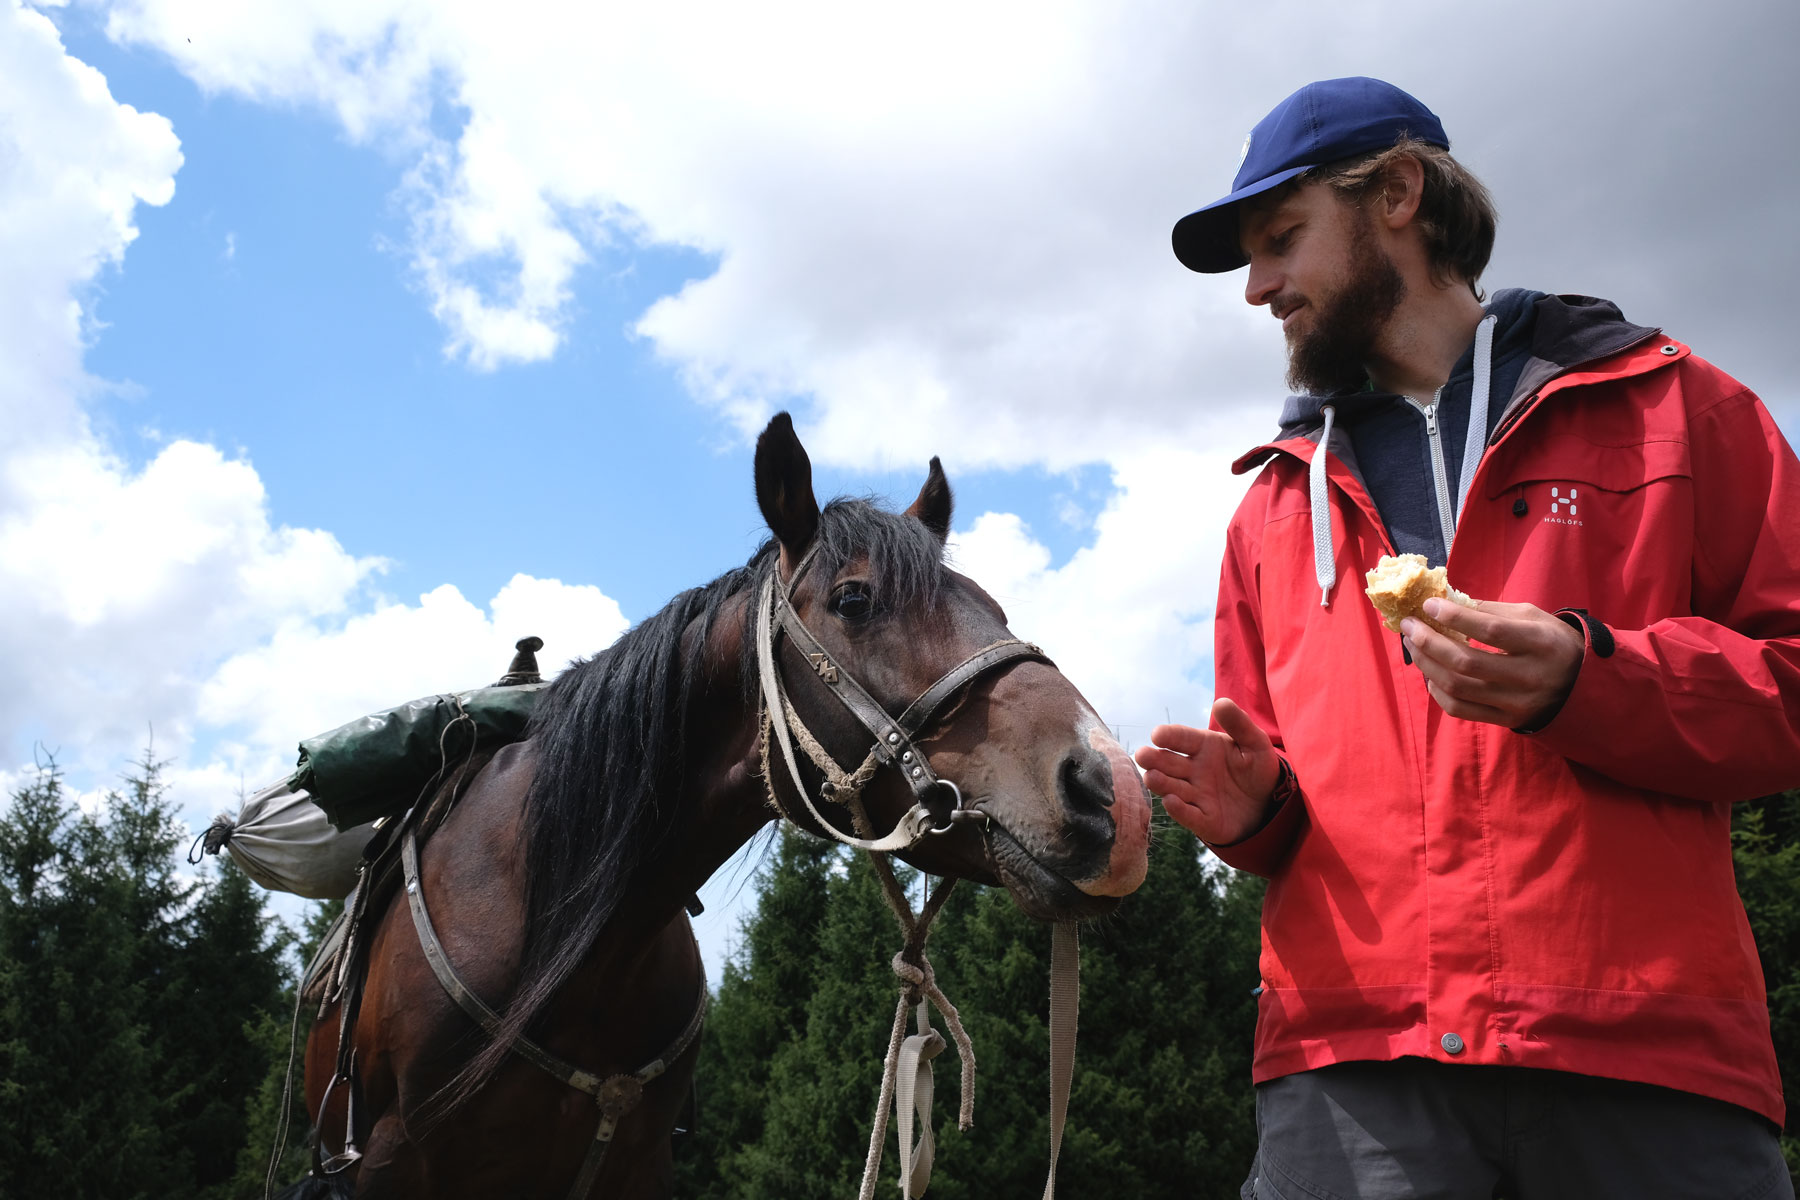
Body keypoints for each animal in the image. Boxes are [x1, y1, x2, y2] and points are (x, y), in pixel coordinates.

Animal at [295, 408, 1152, 1194]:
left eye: (998, 611)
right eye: (854, 600)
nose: (1115, 793)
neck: (556, 931)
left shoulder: (638, 1163)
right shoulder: (390, 1163)